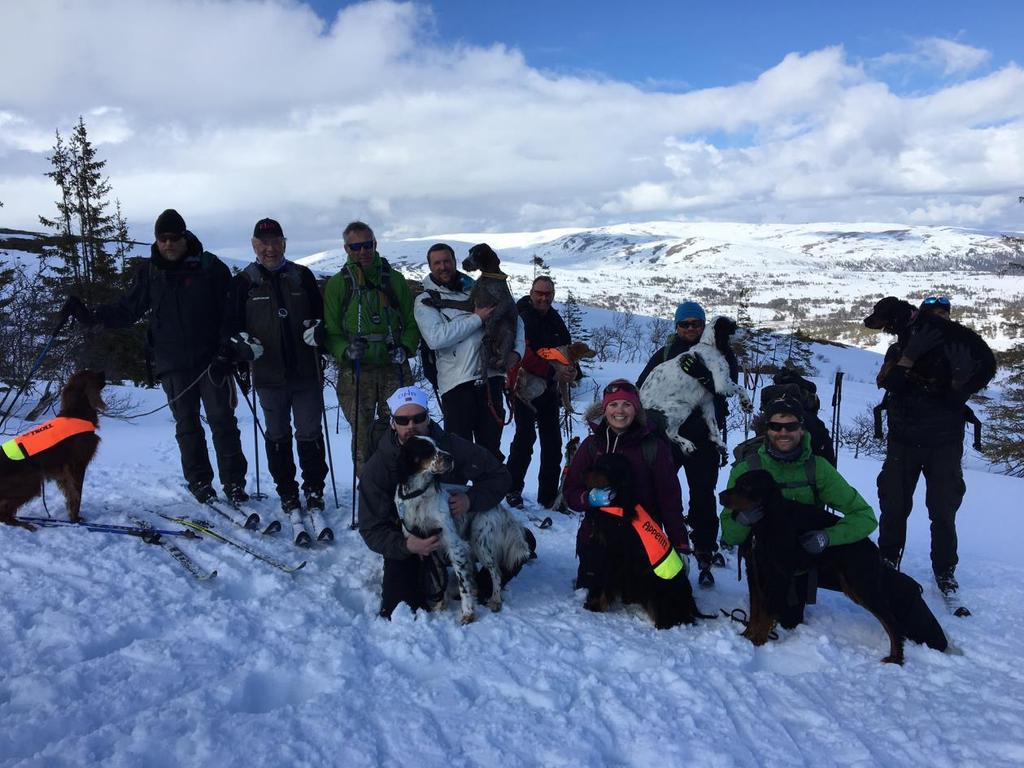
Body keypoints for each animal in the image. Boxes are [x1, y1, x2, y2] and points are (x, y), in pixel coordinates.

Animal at [0, 370, 105, 528]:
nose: (104, 373)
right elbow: (77, 495)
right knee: (3, 512)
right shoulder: (77, 465)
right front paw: (76, 519)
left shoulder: (65, 473)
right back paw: (25, 525)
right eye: (93, 374)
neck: (76, 413)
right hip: (32, 481)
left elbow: (71, 494)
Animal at [393, 434, 532, 626]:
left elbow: (462, 584)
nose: (450, 458)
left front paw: (467, 613)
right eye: (427, 449)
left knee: (496, 572)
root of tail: (499, 506)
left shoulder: (454, 545)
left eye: (438, 445)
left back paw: (495, 600)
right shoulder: (427, 546)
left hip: (481, 542)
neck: (418, 496)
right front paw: (441, 605)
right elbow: (438, 578)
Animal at [577, 454, 704, 626]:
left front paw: (595, 605)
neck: (617, 501)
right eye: (597, 461)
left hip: (655, 588)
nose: (583, 472)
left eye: (606, 466)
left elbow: (605, 581)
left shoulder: (613, 555)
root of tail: (689, 601)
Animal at [716, 468, 946, 663]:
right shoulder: (755, 570)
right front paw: (747, 635)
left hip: (862, 586)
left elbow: (766, 611)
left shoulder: (777, 573)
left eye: (746, 486)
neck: (767, 520)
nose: (720, 495)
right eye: (736, 482)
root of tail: (872, 548)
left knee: (892, 622)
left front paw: (758, 640)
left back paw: (896, 658)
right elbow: (756, 609)